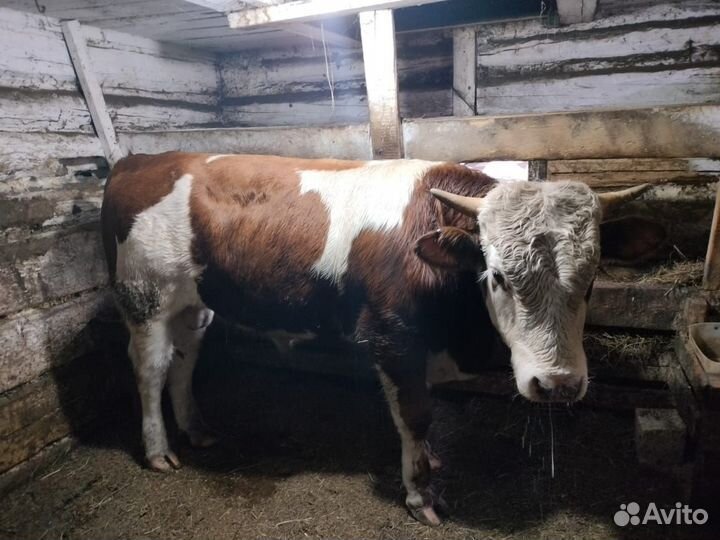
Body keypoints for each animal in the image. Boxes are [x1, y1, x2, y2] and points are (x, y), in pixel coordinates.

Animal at [101, 152, 648, 526]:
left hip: (194, 304)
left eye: (591, 279)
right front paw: (421, 493)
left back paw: (196, 428)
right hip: (145, 296)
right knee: (150, 369)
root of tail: (143, 159)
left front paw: (428, 459)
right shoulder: (392, 339)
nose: (556, 384)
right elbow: (415, 413)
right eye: (496, 276)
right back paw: (158, 450)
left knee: (185, 357)